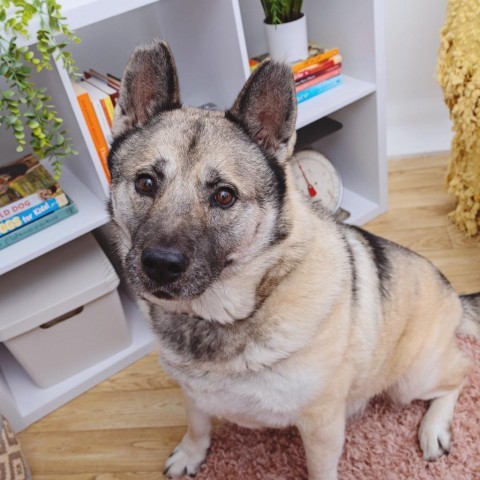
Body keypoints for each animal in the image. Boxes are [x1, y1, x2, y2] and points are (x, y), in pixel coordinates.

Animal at [108, 42, 480, 480]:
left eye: (224, 196)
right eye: (146, 183)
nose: (161, 264)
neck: (224, 315)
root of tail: (453, 294)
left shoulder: (321, 426)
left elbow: (320, 469)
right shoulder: (194, 394)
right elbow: (197, 424)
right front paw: (191, 453)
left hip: (410, 380)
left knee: (458, 373)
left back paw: (434, 428)